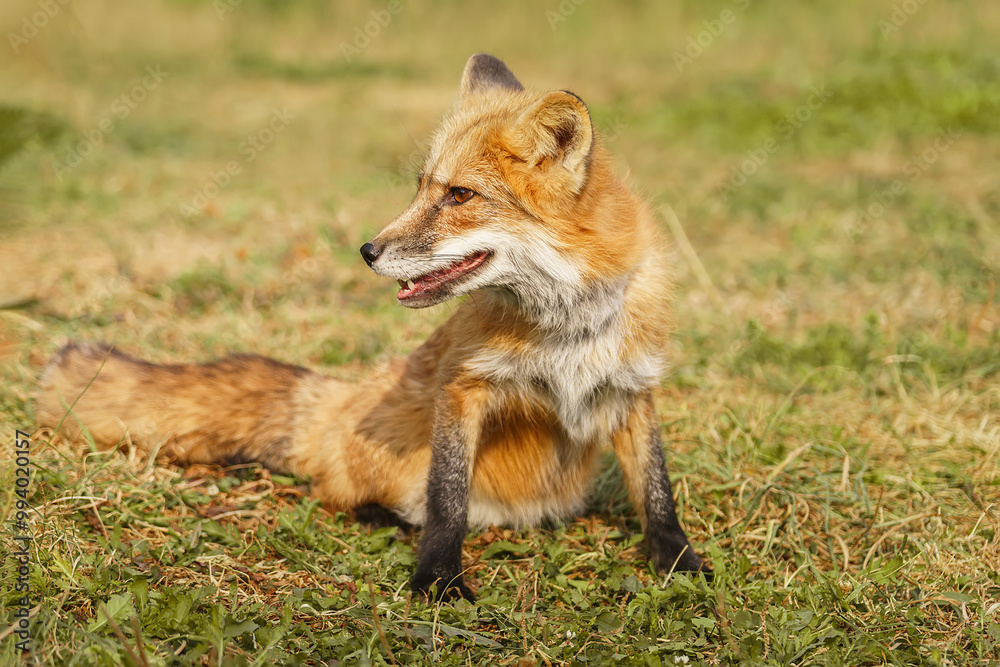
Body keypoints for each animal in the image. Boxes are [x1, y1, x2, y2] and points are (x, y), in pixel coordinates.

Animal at [36, 54, 709, 601]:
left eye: (459, 195)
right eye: (421, 187)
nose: (366, 250)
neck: (568, 328)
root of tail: (336, 396)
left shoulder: (634, 387)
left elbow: (657, 492)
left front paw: (680, 564)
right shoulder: (461, 385)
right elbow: (447, 500)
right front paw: (437, 580)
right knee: (341, 490)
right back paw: (382, 517)